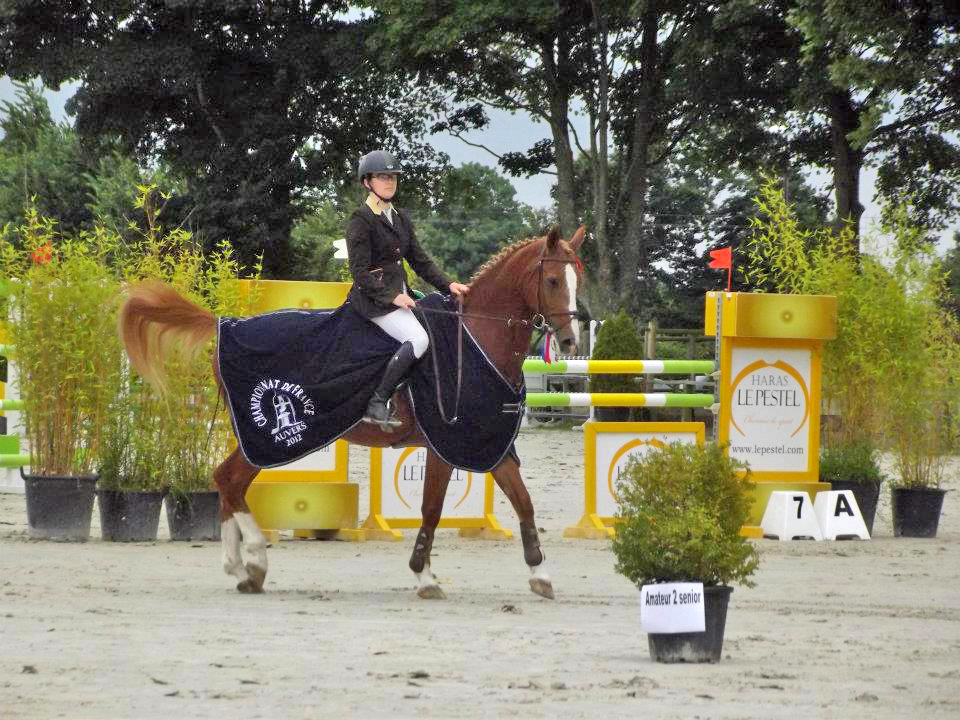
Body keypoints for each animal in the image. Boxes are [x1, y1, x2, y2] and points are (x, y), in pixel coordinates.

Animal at [120, 224, 584, 596]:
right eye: (552, 279)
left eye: (577, 280)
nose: (570, 341)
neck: (474, 337)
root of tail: (225, 325)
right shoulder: (444, 442)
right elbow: (432, 509)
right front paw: (425, 577)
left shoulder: (488, 442)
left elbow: (524, 503)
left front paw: (540, 575)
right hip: (268, 437)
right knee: (230, 481)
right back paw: (253, 559)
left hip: (259, 439)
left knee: (227, 481)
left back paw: (242, 568)